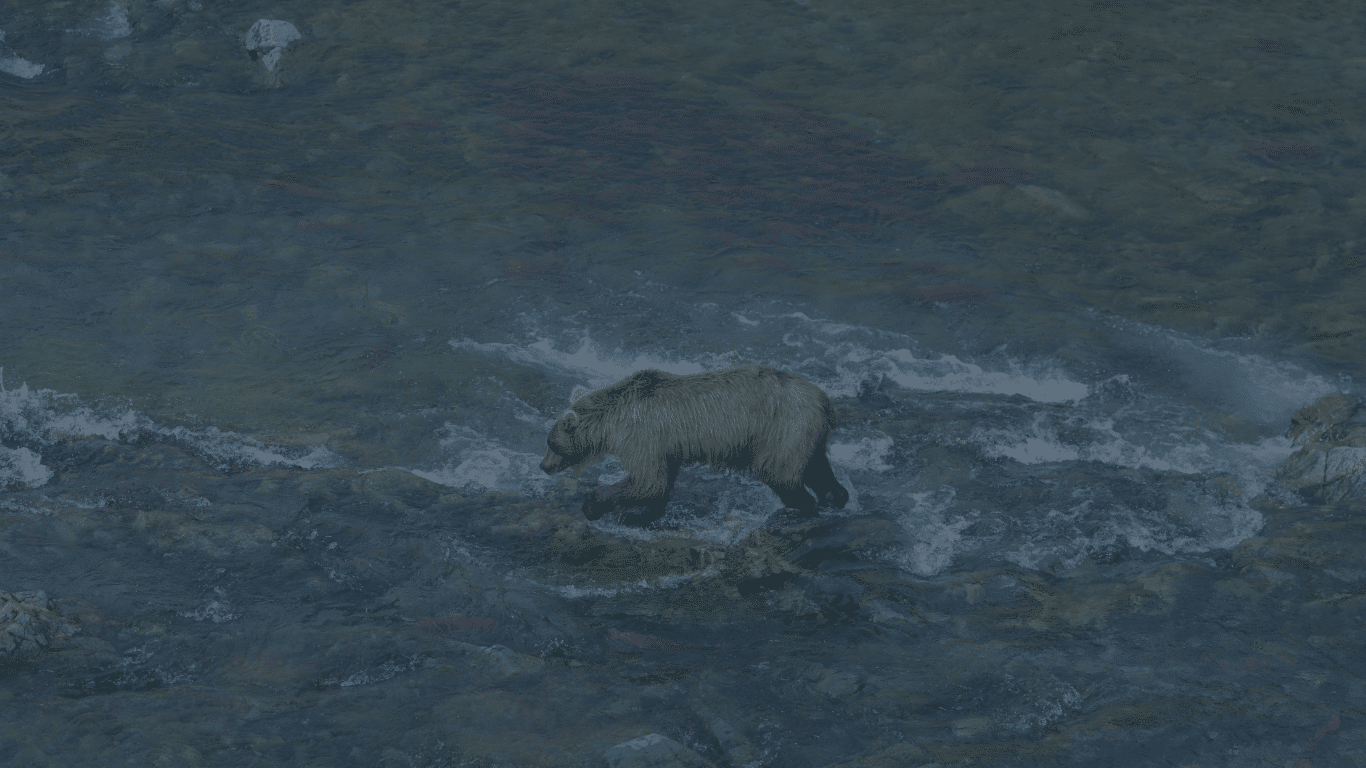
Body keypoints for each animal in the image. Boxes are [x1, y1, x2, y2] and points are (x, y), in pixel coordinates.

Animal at [539, 365, 848, 525]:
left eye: (551, 443)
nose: (543, 466)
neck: (611, 422)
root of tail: (824, 399)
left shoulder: (642, 436)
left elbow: (648, 481)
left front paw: (596, 504)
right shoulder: (665, 445)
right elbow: (659, 483)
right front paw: (641, 514)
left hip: (782, 426)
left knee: (778, 471)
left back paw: (797, 508)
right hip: (805, 433)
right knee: (818, 467)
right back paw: (835, 497)